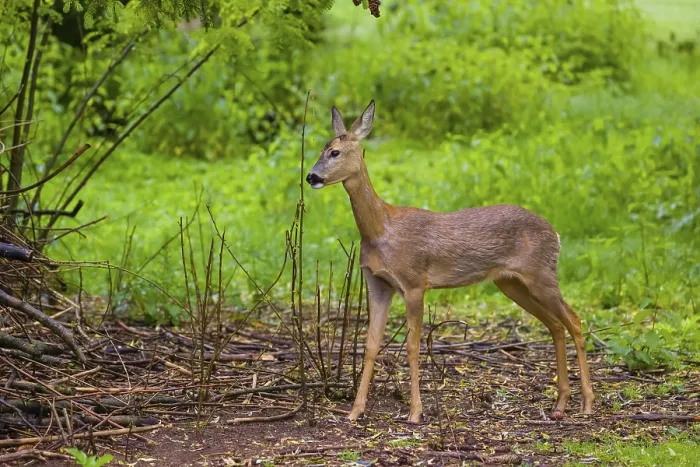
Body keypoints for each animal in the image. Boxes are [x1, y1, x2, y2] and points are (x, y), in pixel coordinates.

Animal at [305, 100, 594, 424]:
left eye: (334, 152)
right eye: (322, 148)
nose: (311, 177)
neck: (381, 229)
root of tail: (556, 234)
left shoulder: (415, 282)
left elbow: (412, 346)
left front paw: (415, 412)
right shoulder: (377, 283)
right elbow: (369, 345)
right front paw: (355, 411)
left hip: (541, 274)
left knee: (574, 320)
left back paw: (587, 403)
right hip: (511, 283)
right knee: (556, 325)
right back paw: (560, 404)